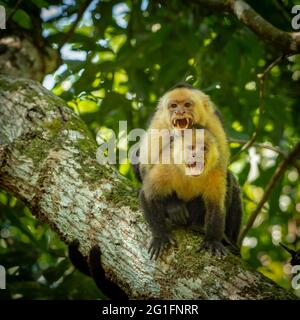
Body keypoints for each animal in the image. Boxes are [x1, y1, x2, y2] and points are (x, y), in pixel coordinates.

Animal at [134, 83, 244, 260]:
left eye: (187, 105)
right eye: (173, 106)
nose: (180, 112)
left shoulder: (213, 123)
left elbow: (220, 174)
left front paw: (213, 240)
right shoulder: (158, 125)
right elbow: (145, 169)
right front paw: (172, 208)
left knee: (230, 181)